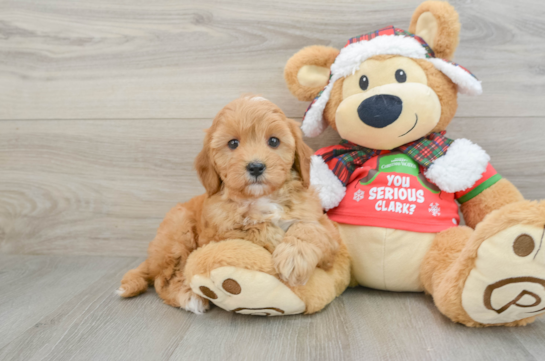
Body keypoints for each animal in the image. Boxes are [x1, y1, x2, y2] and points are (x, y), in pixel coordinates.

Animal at [118, 95, 340, 312]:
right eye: (233, 144)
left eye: (274, 141)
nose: (256, 167)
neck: (261, 197)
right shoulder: (217, 234)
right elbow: (253, 227)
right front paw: (276, 238)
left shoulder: (323, 226)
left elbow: (310, 228)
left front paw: (294, 257)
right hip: (178, 232)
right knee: (163, 280)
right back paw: (189, 297)